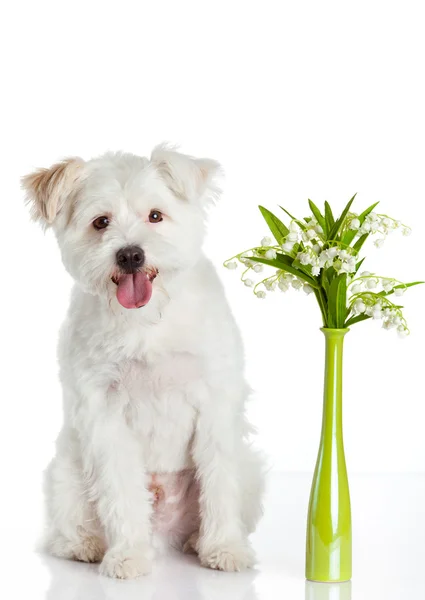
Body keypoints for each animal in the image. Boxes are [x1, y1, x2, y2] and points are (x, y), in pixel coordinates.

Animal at [22, 143, 264, 580]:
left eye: (155, 215)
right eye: (100, 222)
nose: (131, 254)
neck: (146, 321)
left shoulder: (215, 402)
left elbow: (220, 482)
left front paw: (225, 548)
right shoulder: (104, 412)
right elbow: (119, 491)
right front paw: (129, 555)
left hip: (250, 465)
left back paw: (197, 540)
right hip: (65, 469)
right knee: (69, 525)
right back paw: (84, 545)